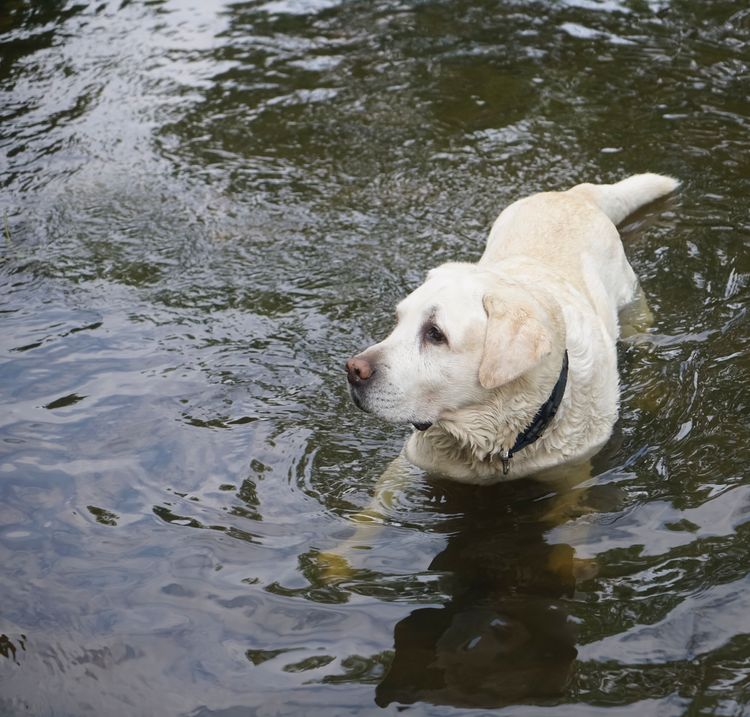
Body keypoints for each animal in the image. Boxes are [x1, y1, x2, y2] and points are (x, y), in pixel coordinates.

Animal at [346, 174, 680, 484]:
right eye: (398, 320)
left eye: (435, 334)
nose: (353, 369)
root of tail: (574, 195)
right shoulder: (408, 464)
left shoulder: (572, 473)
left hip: (633, 309)